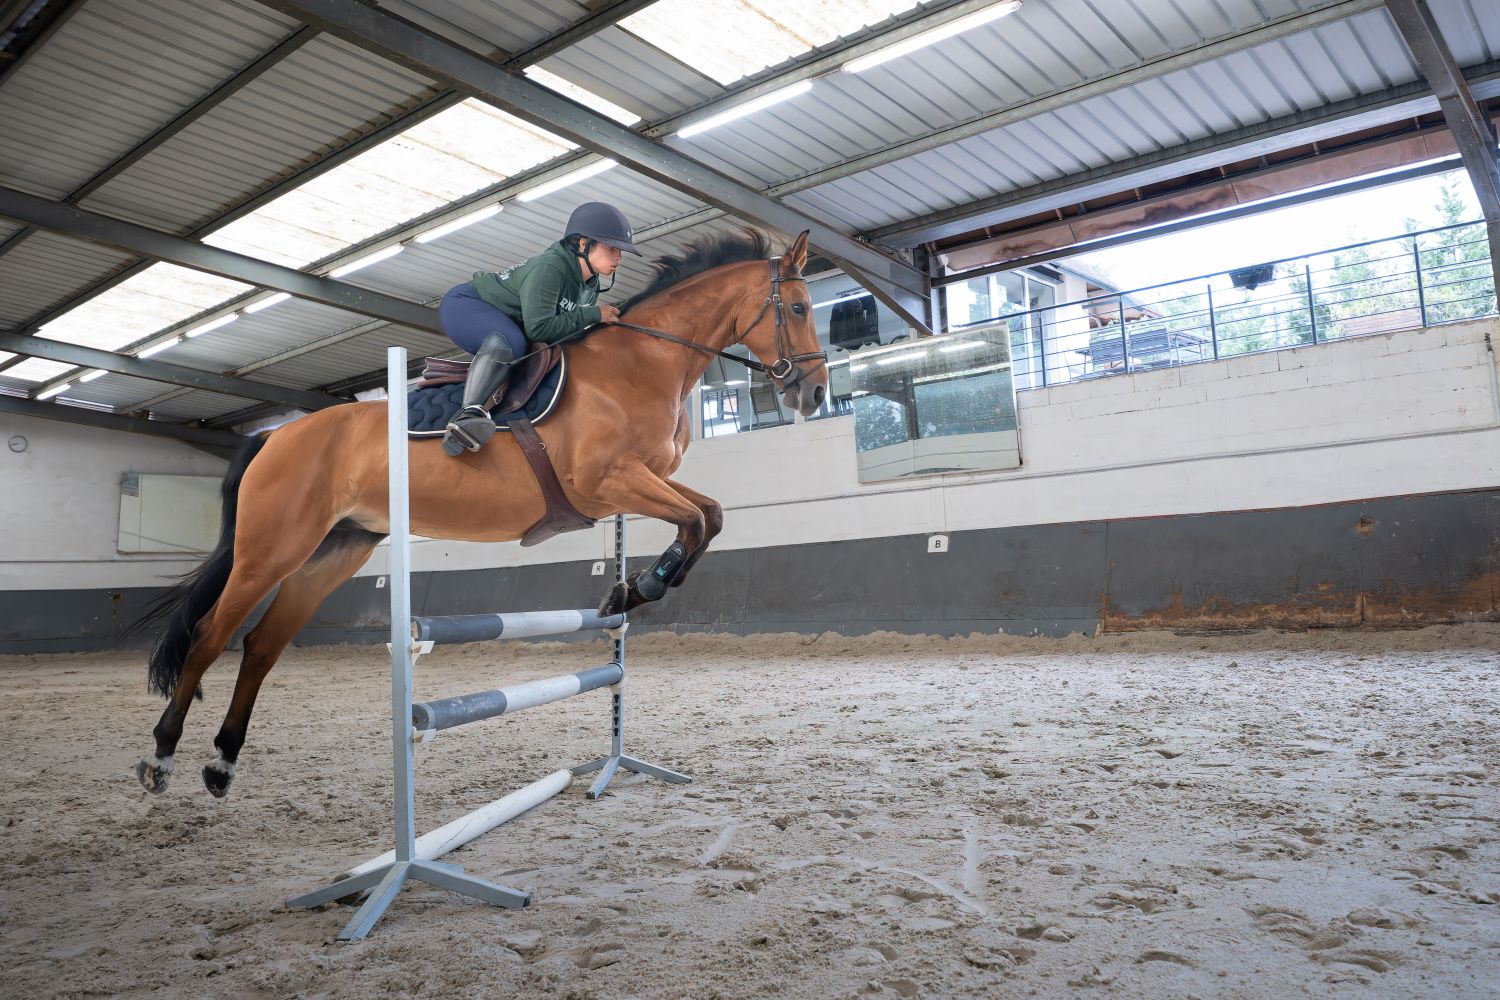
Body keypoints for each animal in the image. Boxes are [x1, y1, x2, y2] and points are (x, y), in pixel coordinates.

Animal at [133, 230, 828, 803]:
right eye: (798, 309)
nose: (815, 393)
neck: (643, 363)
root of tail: (274, 434)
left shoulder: (641, 482)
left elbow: (710, 514)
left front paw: (626, 592)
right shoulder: (607, 483)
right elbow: (700, 522)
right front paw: (639, 588)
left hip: (332, 552)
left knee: (260, 647)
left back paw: (222, 764)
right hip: (270, 548)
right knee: (212, 635)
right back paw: (161, 758)